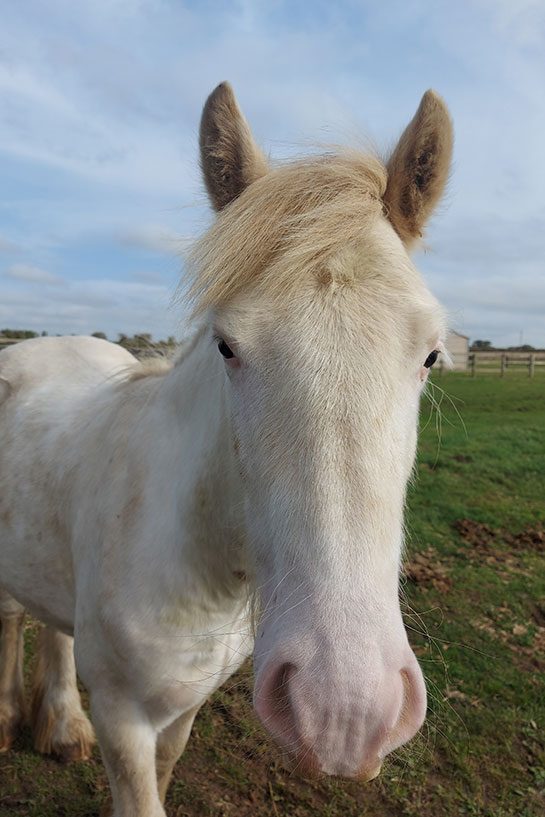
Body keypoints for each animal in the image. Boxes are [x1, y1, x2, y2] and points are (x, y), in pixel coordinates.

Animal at [0, 84, 450, 816]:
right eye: (227, 345)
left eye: (431, 354)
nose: (345, 711)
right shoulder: (123, 714)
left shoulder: (184, 707)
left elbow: (167, 764)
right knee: (12, 614)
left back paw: (60, 725)